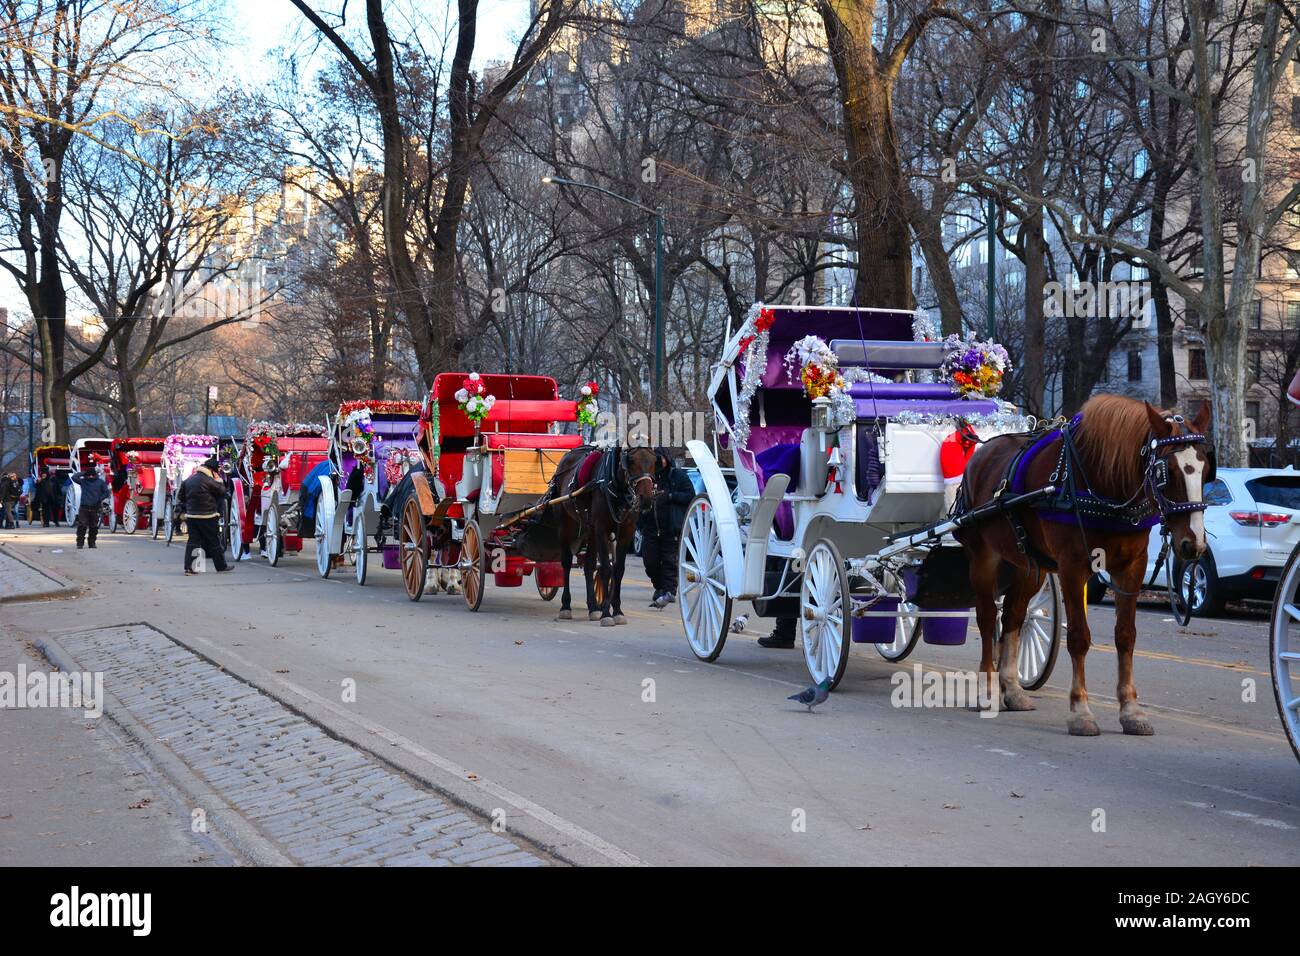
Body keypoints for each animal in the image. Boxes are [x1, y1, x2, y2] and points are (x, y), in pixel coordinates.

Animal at [540, 442, 655, 624]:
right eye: (631, 461)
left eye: (654, 461)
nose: (646, 499)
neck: (615, 486)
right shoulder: (602, 529)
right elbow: (606, 570)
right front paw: (606, 614)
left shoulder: (626, 532)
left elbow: (618, 570)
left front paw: (617, 611)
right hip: (566, 526)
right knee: (566, 564)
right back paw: (566, 606)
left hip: (590, 530)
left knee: (589, 565)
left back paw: (593, 607)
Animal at [951, 395, 1211, 738]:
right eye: (1166, 470)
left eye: (1206, 469)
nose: (1193, 545)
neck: (1106, 484)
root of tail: (981, 454)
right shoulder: (1072, 567)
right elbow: (1078, 637)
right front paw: (1080, 711)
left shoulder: (1132, 567)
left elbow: (1126, 635)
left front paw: (1131, 711)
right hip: (983, 558)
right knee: (985, 618)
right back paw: (988, 690)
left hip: (1029, 565)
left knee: (1013, 617)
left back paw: (1013, 689)